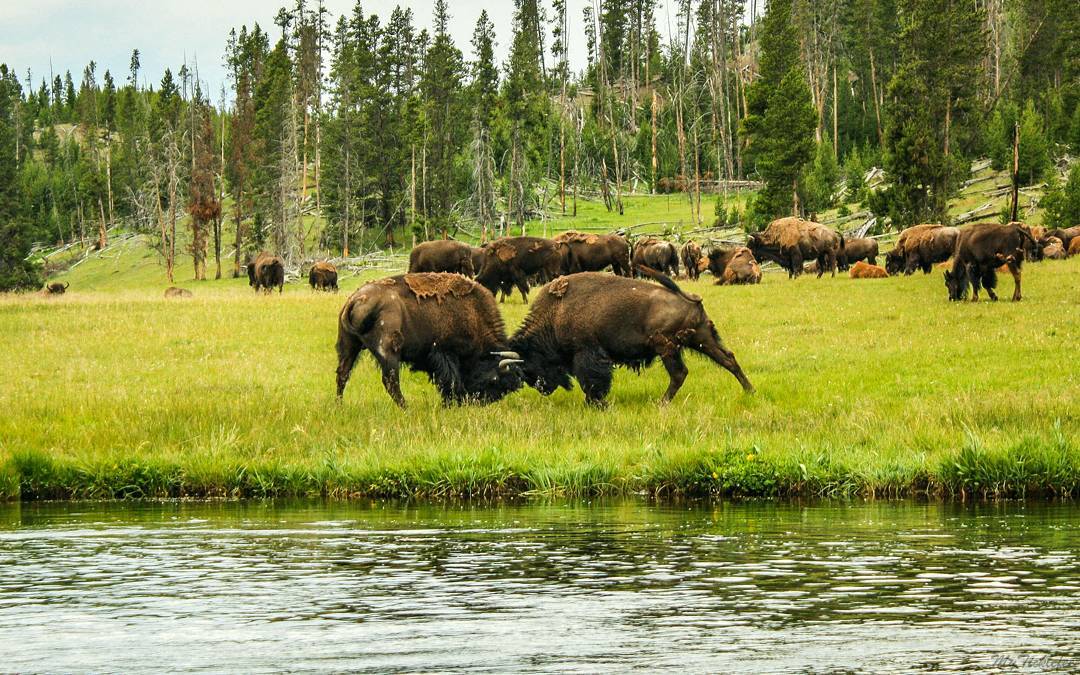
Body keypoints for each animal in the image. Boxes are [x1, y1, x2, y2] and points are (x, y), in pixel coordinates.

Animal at [334, 272, 524, 408]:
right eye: (495, 380)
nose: (477, 402)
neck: (473, 313)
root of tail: (356, 299)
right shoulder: (445, 353)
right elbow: (449, 380)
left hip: (349, 346)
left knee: (343, 374)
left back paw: (339, 406)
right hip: (389, 352)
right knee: (390, 381)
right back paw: (406, 408)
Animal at [509, 266, 756, 406]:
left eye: (531, 363)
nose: (542, 388)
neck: (556, 312)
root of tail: (690, 297)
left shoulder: (586, 353)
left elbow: (592, 381)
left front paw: (594, 403)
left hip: (667, 347)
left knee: (679, 373)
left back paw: (661, 402)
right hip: (702, 339)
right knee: (728, 359)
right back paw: (749, 391)